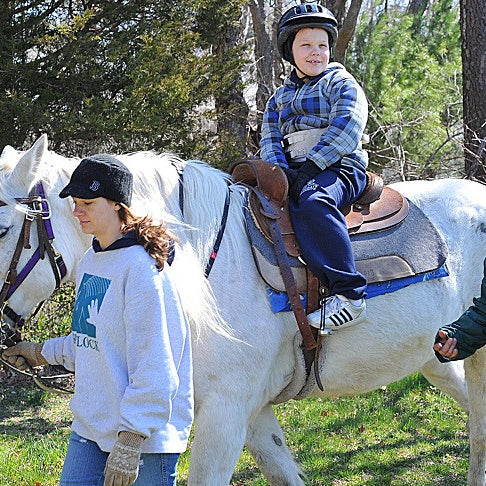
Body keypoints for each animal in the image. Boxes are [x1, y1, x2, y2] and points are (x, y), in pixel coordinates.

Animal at [2, 135, 486, 484]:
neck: (202, 270)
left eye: (6, 228)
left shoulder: (226, 411)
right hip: (437, 357)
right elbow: (285, 474)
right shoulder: (251, 413)